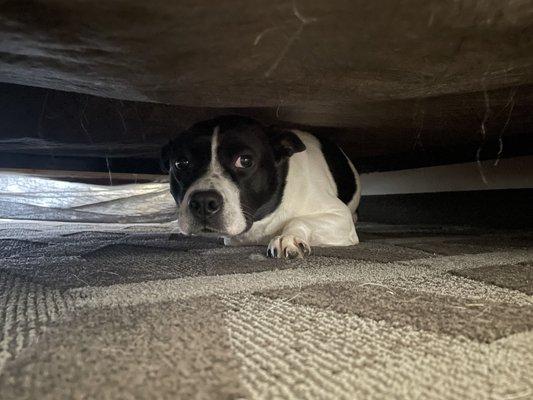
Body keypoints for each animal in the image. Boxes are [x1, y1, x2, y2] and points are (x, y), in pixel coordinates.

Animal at [161, 115, 362, 260]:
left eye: (245, 161)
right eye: (181, 163)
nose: (203, 201)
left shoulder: (339, 216)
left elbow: (298, 220)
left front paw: (288, 238)